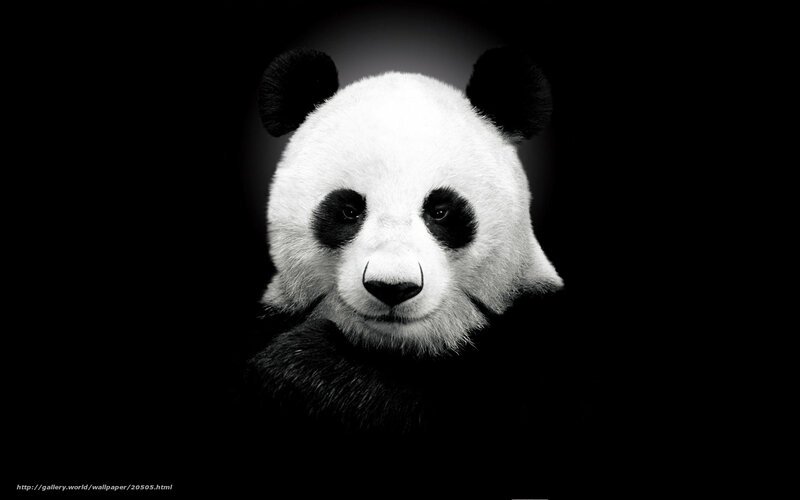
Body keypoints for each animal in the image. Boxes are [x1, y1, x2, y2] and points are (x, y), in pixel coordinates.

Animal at [242, 48, 572, 449]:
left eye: (440, 211)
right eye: (349, 210)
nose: (392, 287)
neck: (396, 350)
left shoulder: (534, 335)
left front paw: (303, 366)